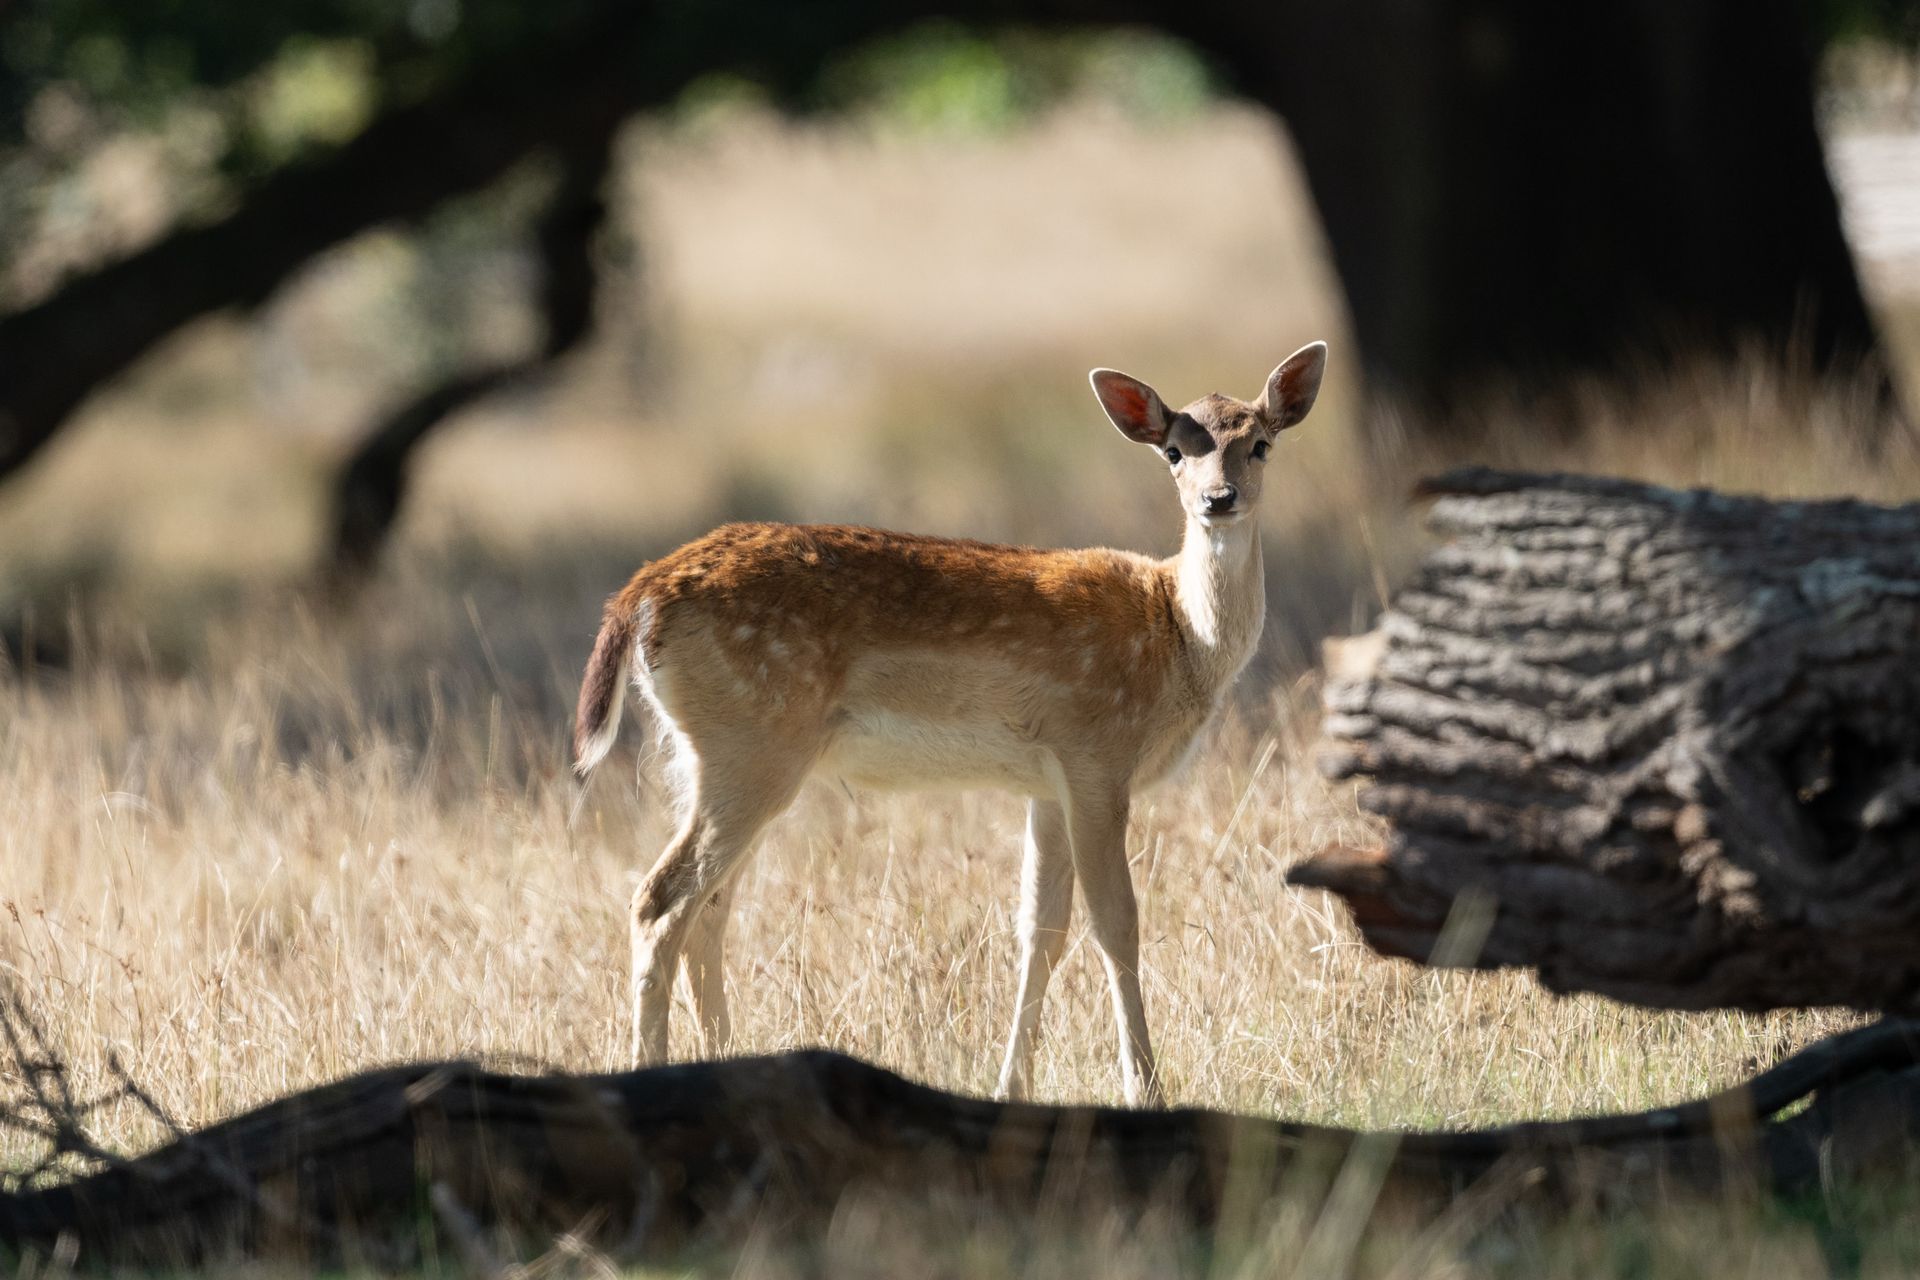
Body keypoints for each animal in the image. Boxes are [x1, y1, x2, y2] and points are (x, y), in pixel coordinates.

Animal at [572, 341, 1328, 1106]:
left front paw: (1012, 1087)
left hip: (714, 755)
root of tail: (640, 595)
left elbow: (1041, 930)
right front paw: (1144, 1090)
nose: (1218, 500)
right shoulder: (1097, 755)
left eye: (1260, 444)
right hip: (752, 745)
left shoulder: (1048, 782)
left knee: (710, 908)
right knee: (660, 901)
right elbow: (1116, 923)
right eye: (1174, 451)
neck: (1177, 637)